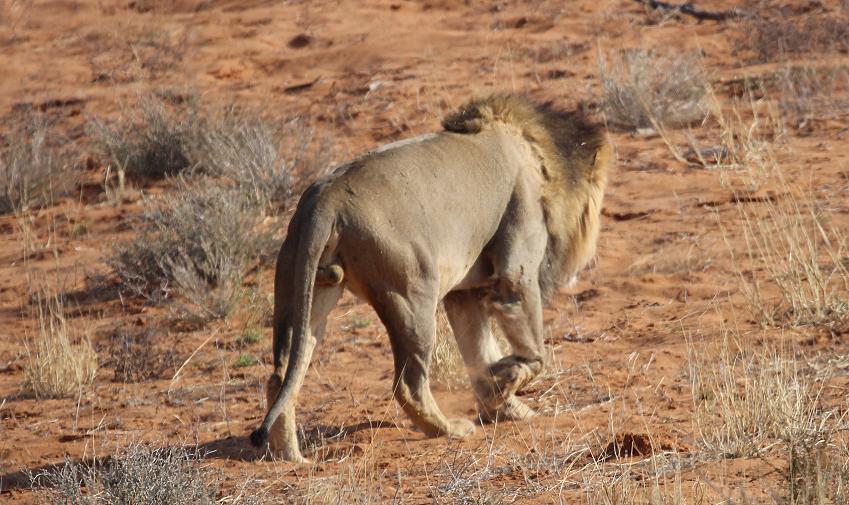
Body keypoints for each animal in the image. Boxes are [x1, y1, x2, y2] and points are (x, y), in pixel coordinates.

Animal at [248, 93, 608, 460]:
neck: (535, 152)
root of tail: (326, 199)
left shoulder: (465, 291)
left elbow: (479, 350)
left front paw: (505, 403)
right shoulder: (515, 270)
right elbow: (533, 354)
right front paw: (505, 379)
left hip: (301, 289)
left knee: (281, 375)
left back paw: (291, 458)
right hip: (412, 294)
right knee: (408, 383)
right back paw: (450, 429)